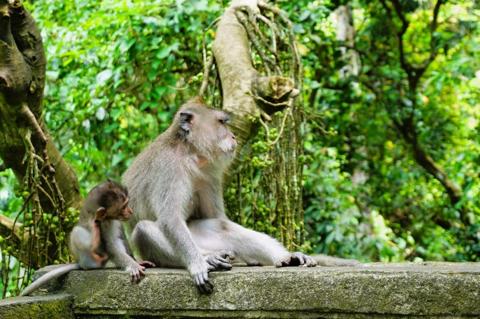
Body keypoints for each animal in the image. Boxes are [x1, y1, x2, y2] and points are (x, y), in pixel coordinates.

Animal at [19, 181, 152, 296]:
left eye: (127, 204)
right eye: (124, 206)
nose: (130, 211)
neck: (108, 218)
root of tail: (80, 263)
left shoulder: (115, 221)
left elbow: (120, 237)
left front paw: (136, 260)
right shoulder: (105, 223)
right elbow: (111, 246)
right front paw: (133, 265)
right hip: (87, 258)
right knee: (77, 232)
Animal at [123, 97, 316, 296]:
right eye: (221, 122)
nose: (233, 136)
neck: (190, 153)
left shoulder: (210, 174)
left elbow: (216, 217)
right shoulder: (169, 168)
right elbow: (170, 219)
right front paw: (198, 264)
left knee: (223, 227)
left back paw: (286, 257)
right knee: (144, 229)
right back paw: (210, 258)